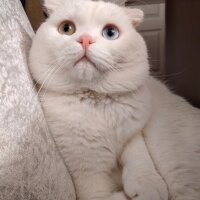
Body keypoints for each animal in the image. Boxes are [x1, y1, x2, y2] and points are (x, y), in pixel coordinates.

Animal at [28, 0, 200, 200]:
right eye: (66, 28)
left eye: (110, 32)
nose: (85, 40)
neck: (97, 102)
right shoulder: (89, 177)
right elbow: (107, 195)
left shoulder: (134, 134)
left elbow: (138, 156)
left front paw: (147, 184)